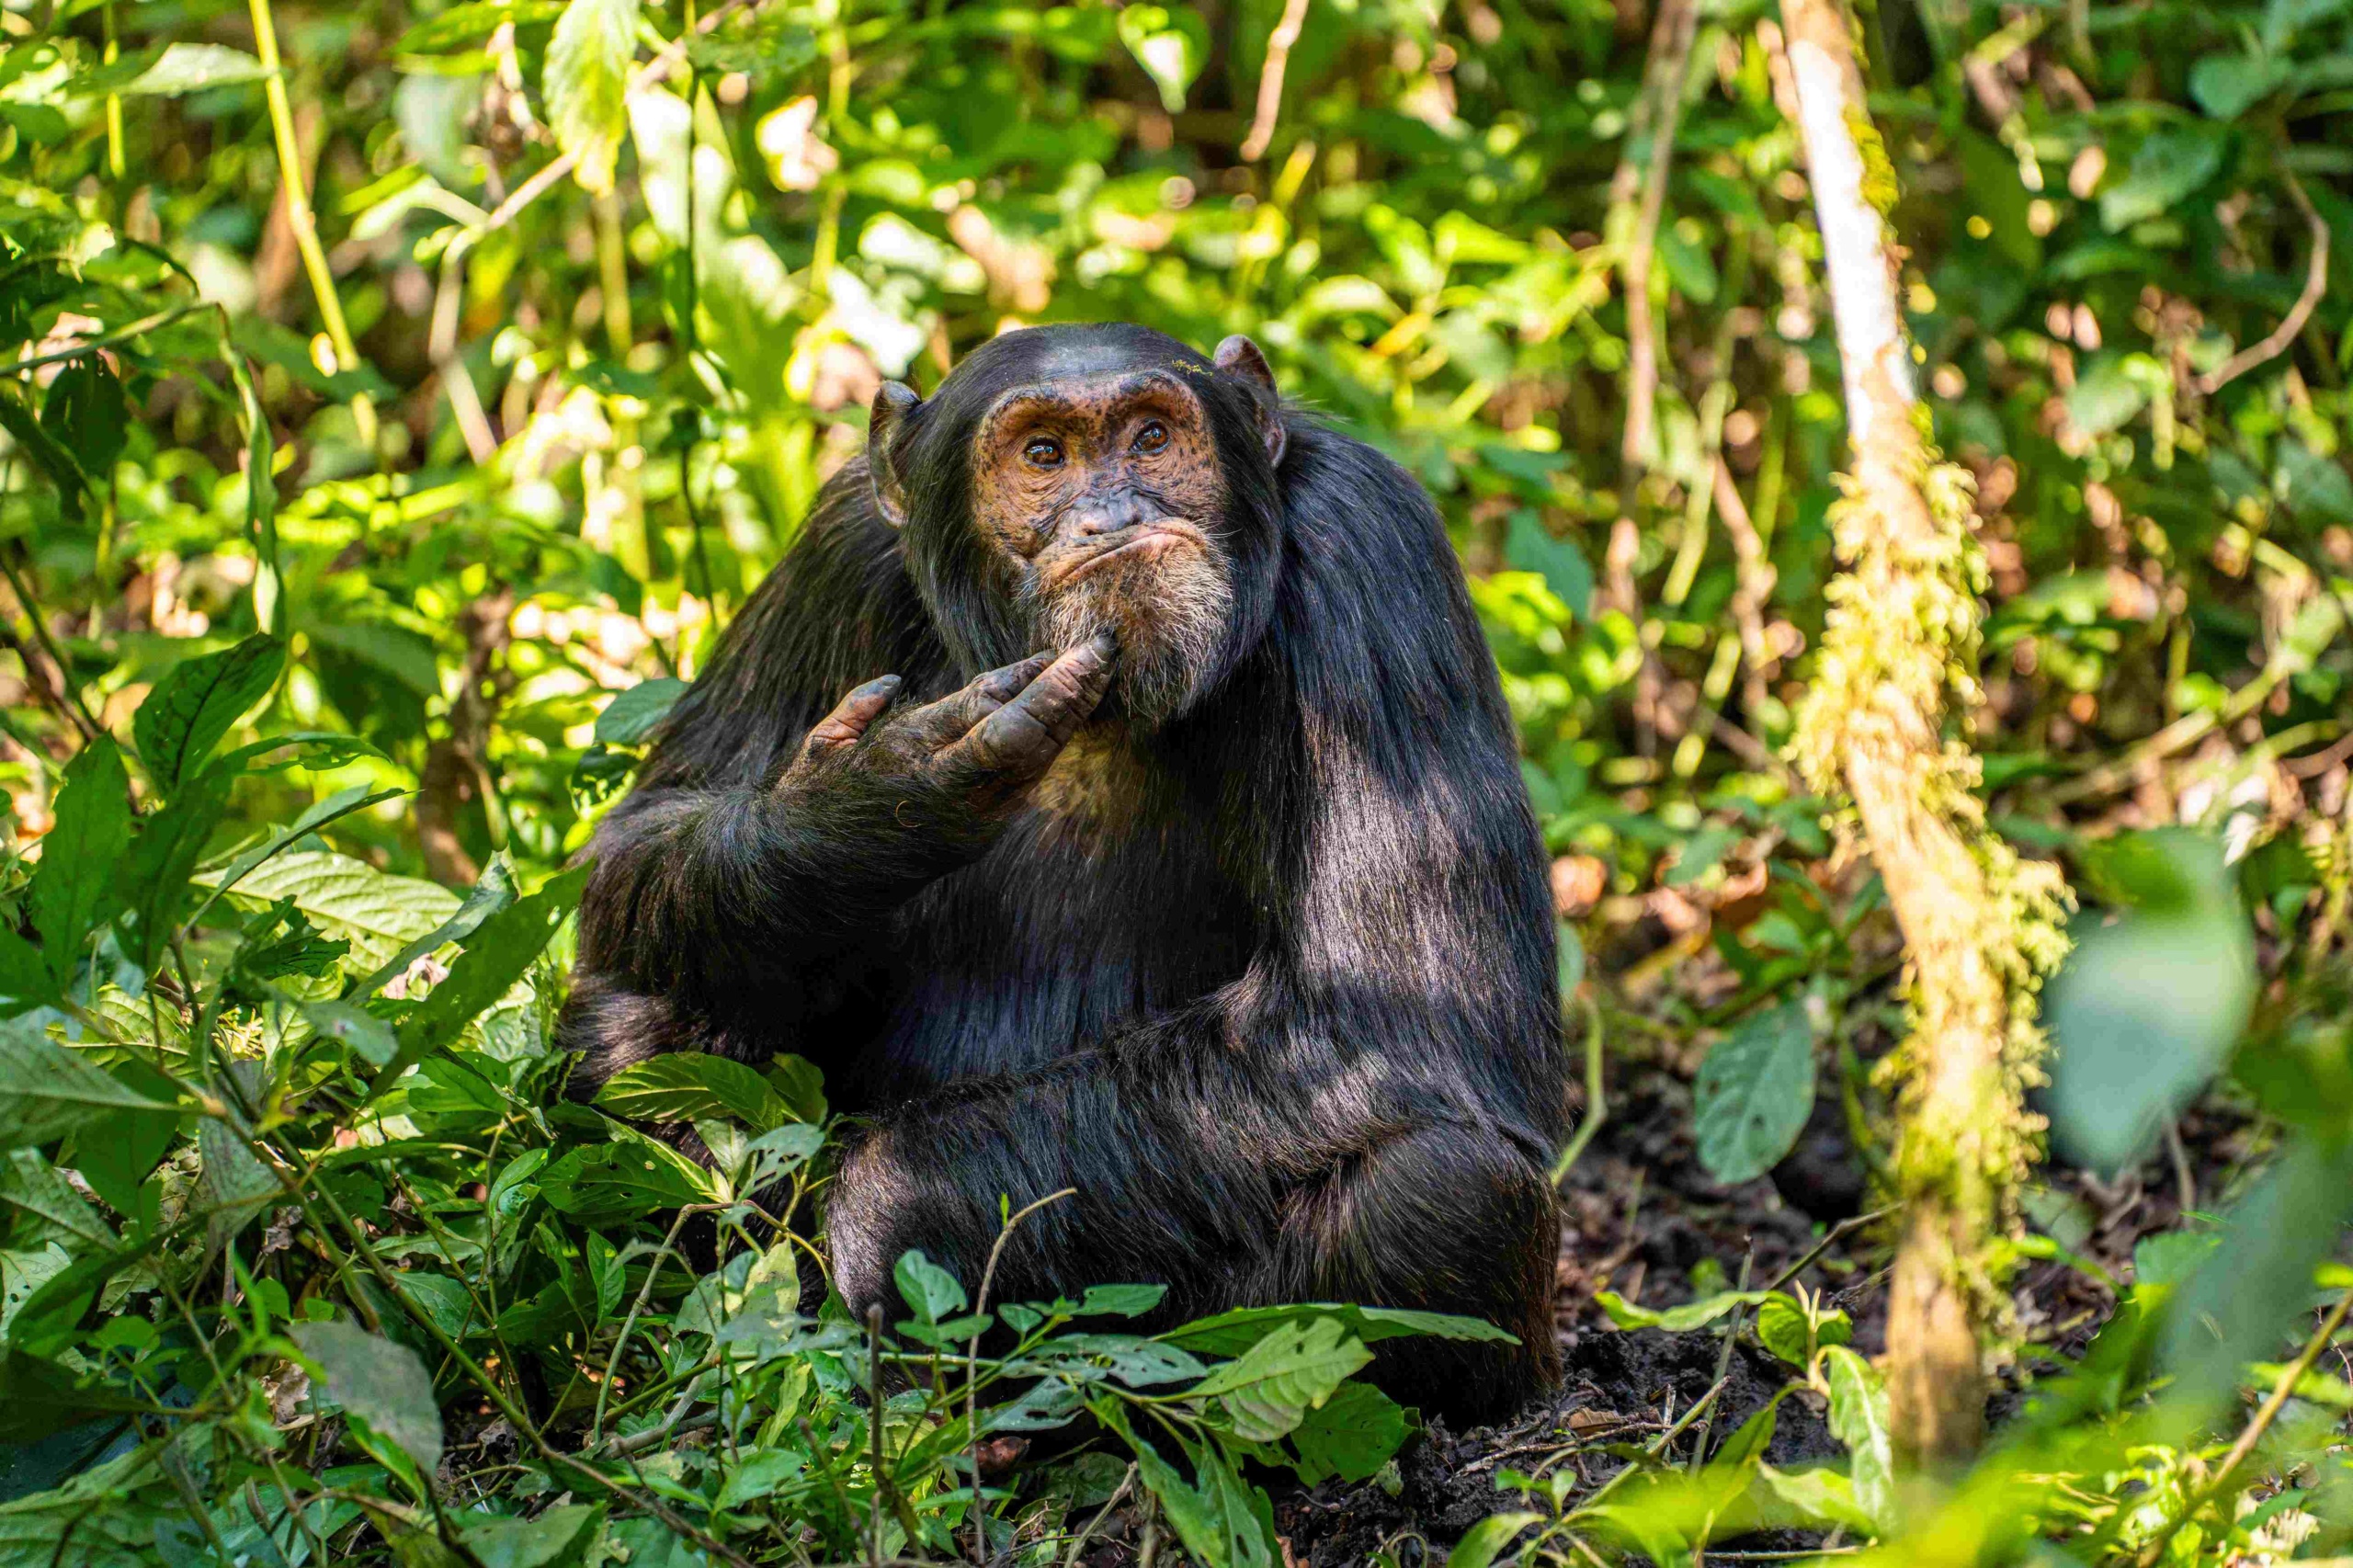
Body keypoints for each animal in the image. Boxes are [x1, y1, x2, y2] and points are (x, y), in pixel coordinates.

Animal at [560, 320, 1572, 1412]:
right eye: (1042, 455)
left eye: (1152, 436)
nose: (1112, 513)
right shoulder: (837, 548)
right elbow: (645, 828)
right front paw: (864, 805)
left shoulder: (1369, 545)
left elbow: (1392, 1009)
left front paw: (889, 1213)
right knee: (638, 1016)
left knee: (1443, 1188)